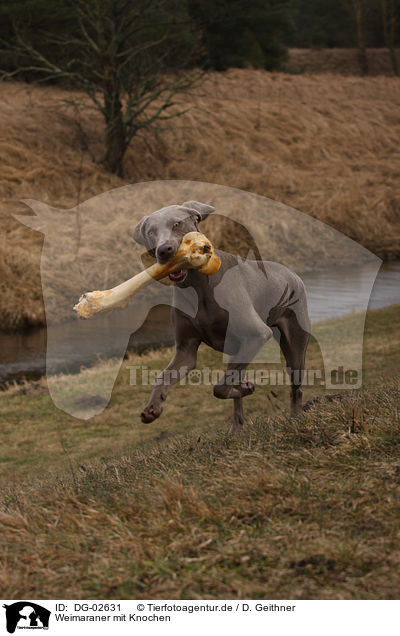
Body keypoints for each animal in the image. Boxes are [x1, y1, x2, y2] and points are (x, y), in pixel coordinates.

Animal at [133, 201, 310, 434]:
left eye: (177, 224)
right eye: (151, 232)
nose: (164, 250)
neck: (198, 286)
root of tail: (293, 274)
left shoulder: (256, 334)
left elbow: (219, 388)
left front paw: (246, 388)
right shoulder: (185, 351)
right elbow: (162, 377)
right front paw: (153, 407)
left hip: (293, 345)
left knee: (296, 386)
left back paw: (295, 418)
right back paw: (236, 428)